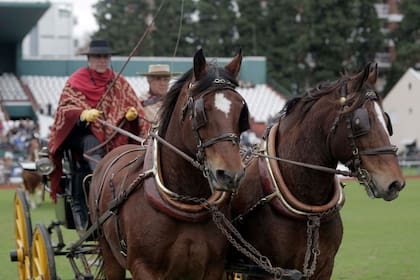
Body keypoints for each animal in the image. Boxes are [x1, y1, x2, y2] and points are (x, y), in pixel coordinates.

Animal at [89, 49, 249, 278]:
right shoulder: (143, 267)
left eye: (240, 111)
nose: (231, 174)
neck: (187, 201)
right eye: (201, 111)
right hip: (109, 254)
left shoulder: (213, 268)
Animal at [228, 62, 406, 278]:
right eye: (359, 122)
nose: (395, 183)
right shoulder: (267, 271)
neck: (309, 212)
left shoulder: (324, 267)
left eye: (387, 121)